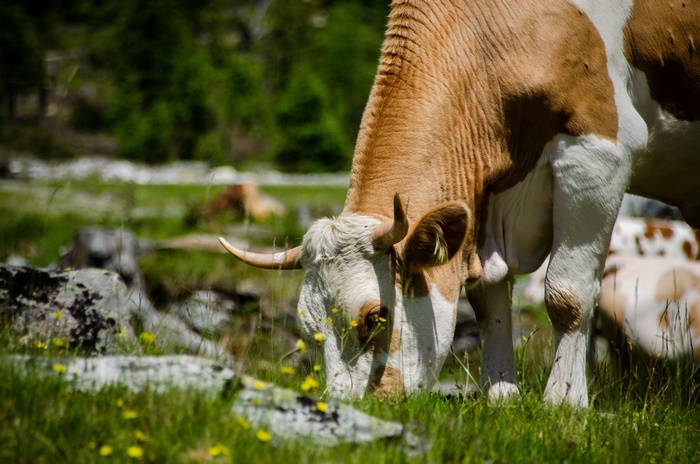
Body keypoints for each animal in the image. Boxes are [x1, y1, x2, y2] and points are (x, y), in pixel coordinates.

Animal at [220, 0, 700, 407]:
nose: (348, 404)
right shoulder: (483, 201)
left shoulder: (598, 154)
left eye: (376, 317)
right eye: (309, 329)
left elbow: (568, 295)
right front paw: (501, 394)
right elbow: (488, 297)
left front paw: (564, 402)